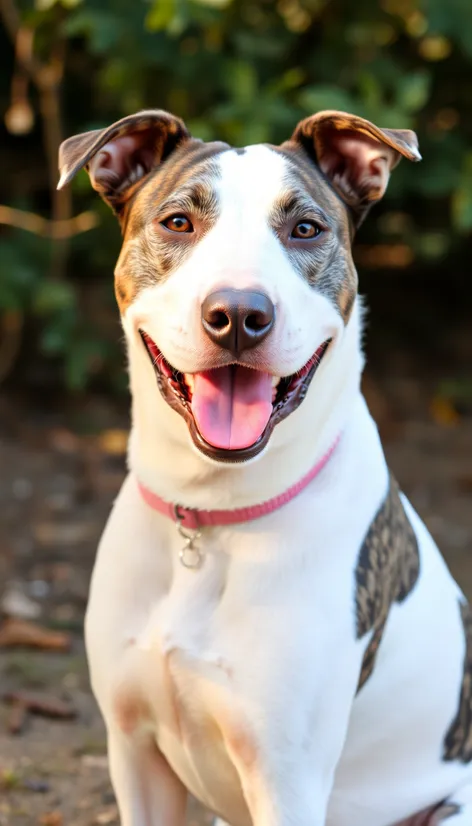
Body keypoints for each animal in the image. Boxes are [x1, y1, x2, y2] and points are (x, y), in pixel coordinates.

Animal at [58, 109, 472, 824]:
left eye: (305, 228)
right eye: (178, 223)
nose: (238, 315)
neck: (211, 513)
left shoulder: (288, 779)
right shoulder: (134, 753)